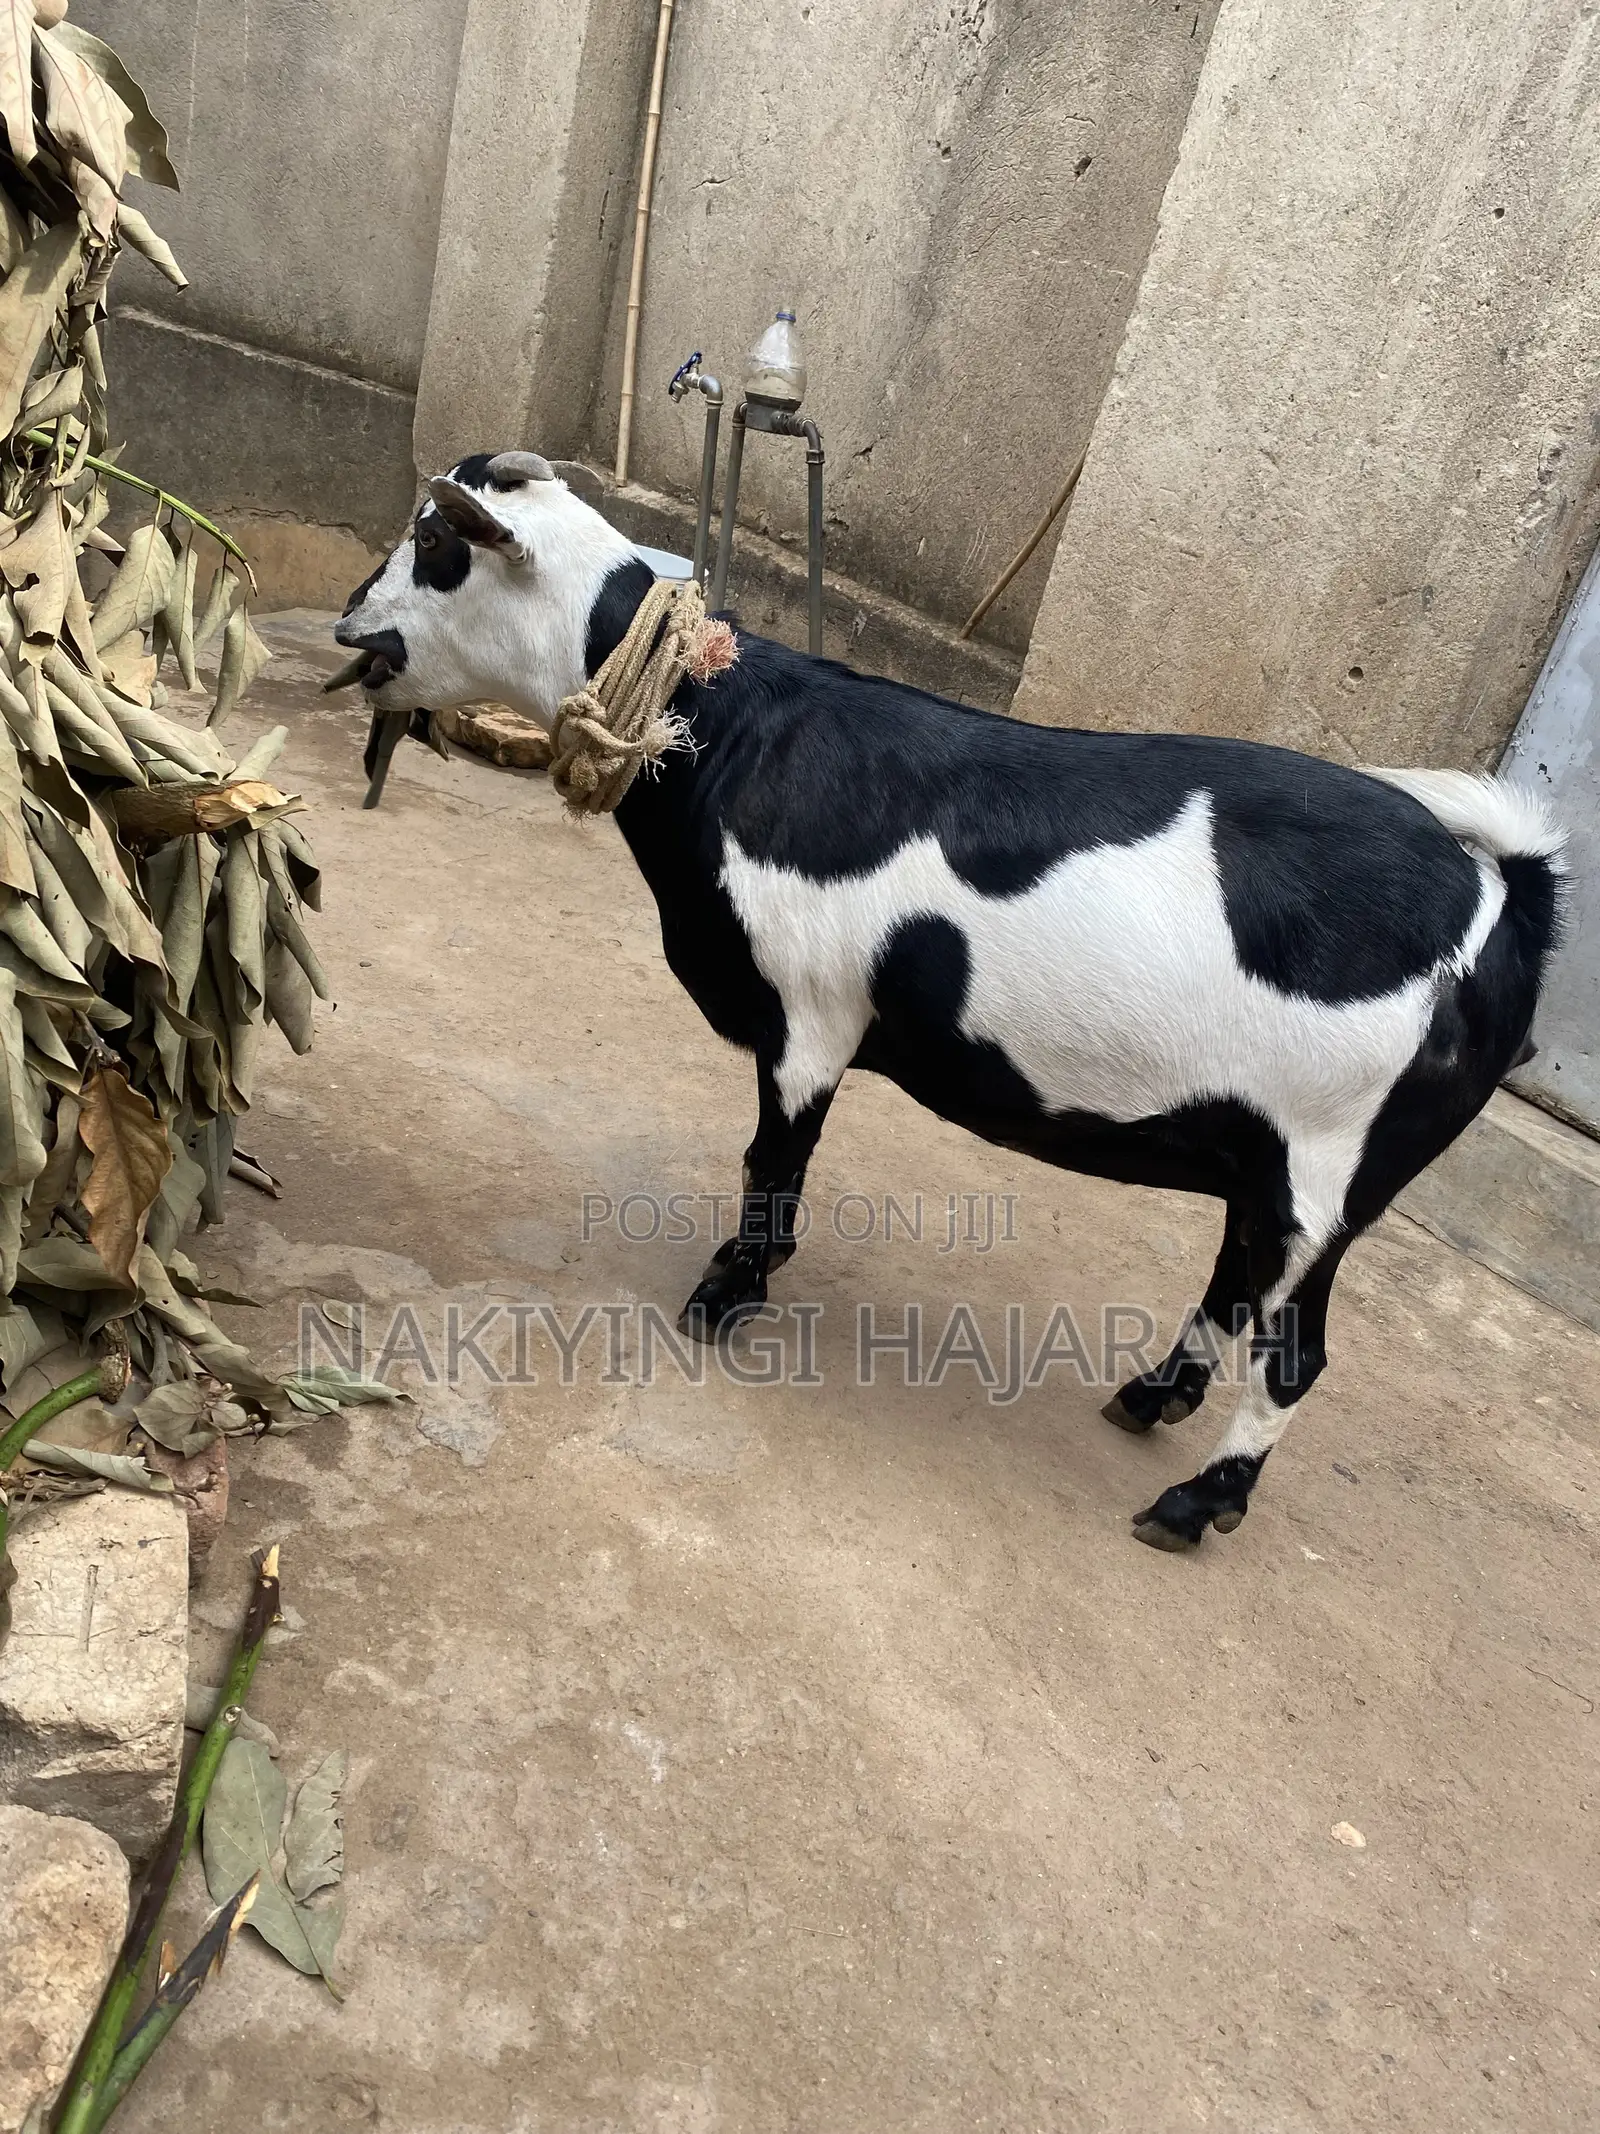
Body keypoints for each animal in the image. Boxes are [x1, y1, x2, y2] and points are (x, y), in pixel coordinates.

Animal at [336, 452, 1565, 1552]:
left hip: (1329, 1164)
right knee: (1233, 1289)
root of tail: (1501, 893)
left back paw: (1188, 1506)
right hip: (1270, 1165)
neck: (729, 736)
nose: (349, 625)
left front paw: (725, 1295)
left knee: (1294, 1356)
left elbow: (773, 1162)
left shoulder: (811, 1015)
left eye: (437, 547)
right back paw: (1148, 1397)